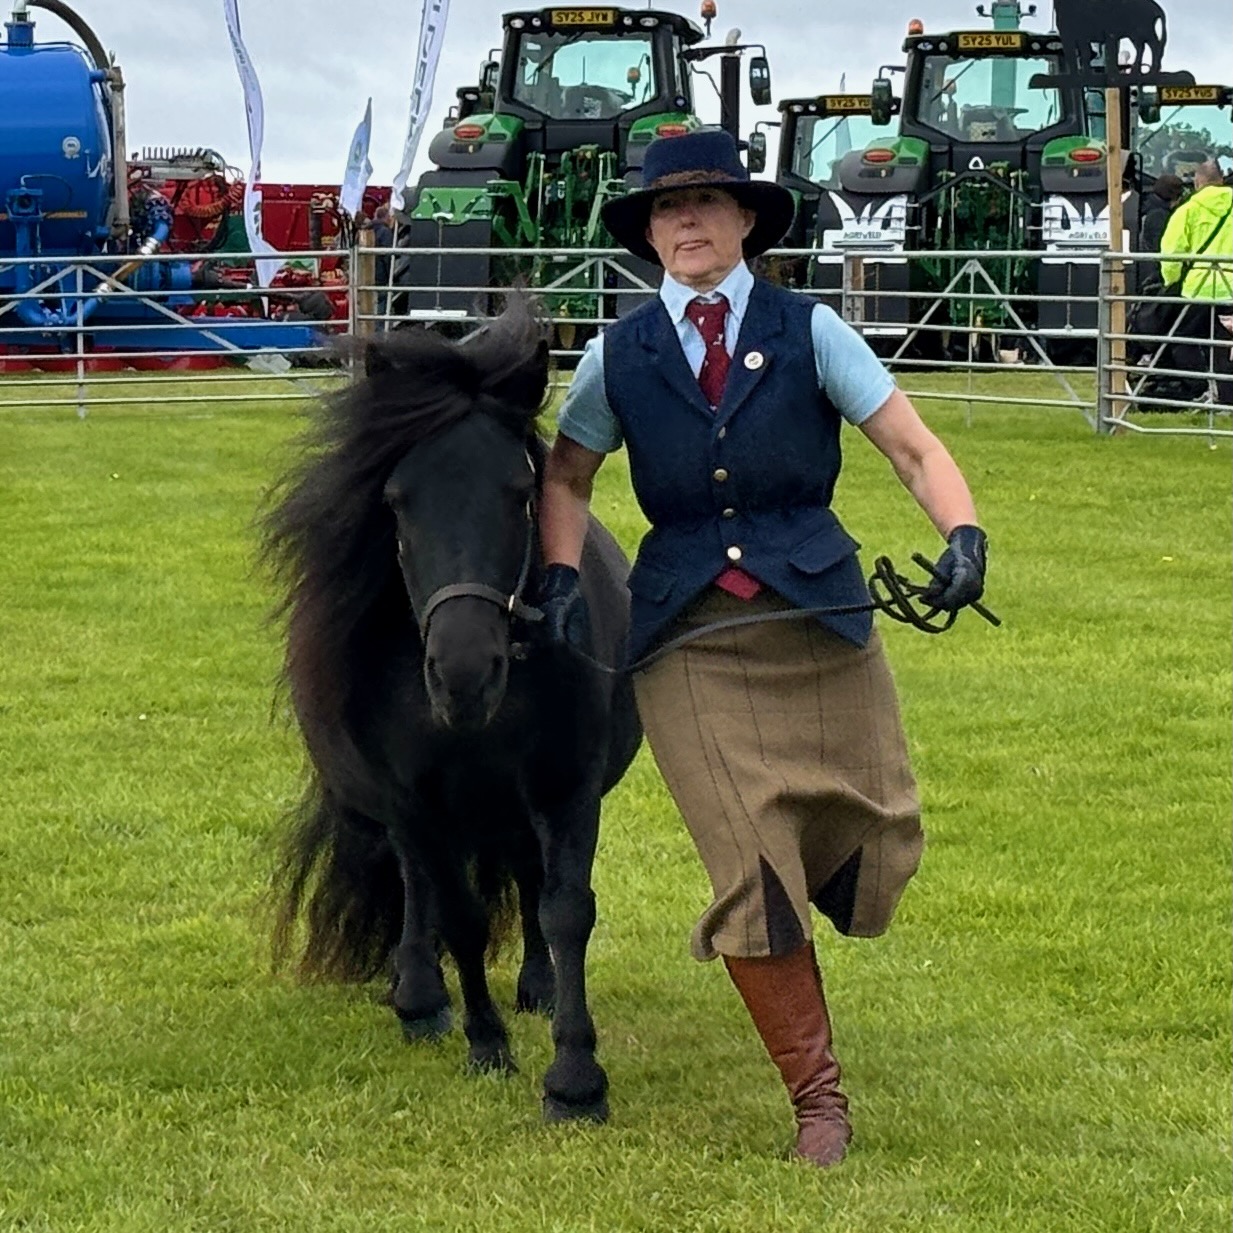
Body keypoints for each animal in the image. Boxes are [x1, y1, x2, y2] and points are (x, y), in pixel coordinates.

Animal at [261, 295, 642, 1122]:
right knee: (416, 883)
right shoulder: (416, 799)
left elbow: (566, 908)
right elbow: (458, 915)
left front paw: (574, 1077)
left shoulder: (565, 788)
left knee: (526, 880)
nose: (464, 675)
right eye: (396, 501)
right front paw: (485, 1043)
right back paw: (420, 997)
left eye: (521, 493)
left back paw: (534, 985)